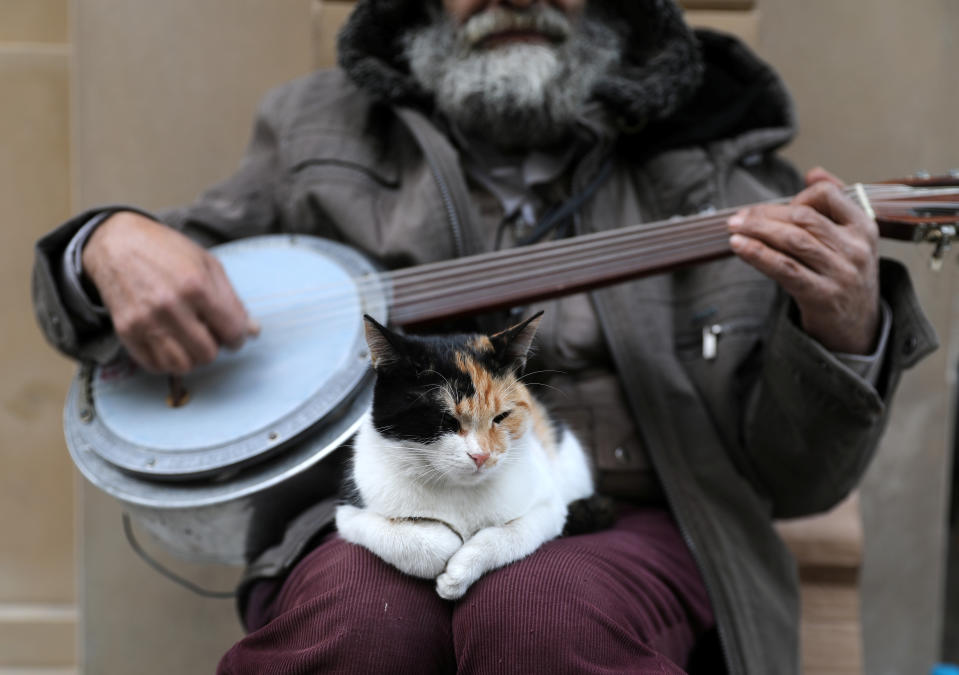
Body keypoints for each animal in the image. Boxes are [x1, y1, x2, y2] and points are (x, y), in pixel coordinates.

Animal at [334, 312, 596, 604]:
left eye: (501, 417)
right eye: (445, 419)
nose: (481, 455)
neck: (458, 492)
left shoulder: (550, 508)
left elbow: (510, 534)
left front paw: (456, 574)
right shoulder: (349, 513)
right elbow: (424, 541)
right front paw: (446, 541)